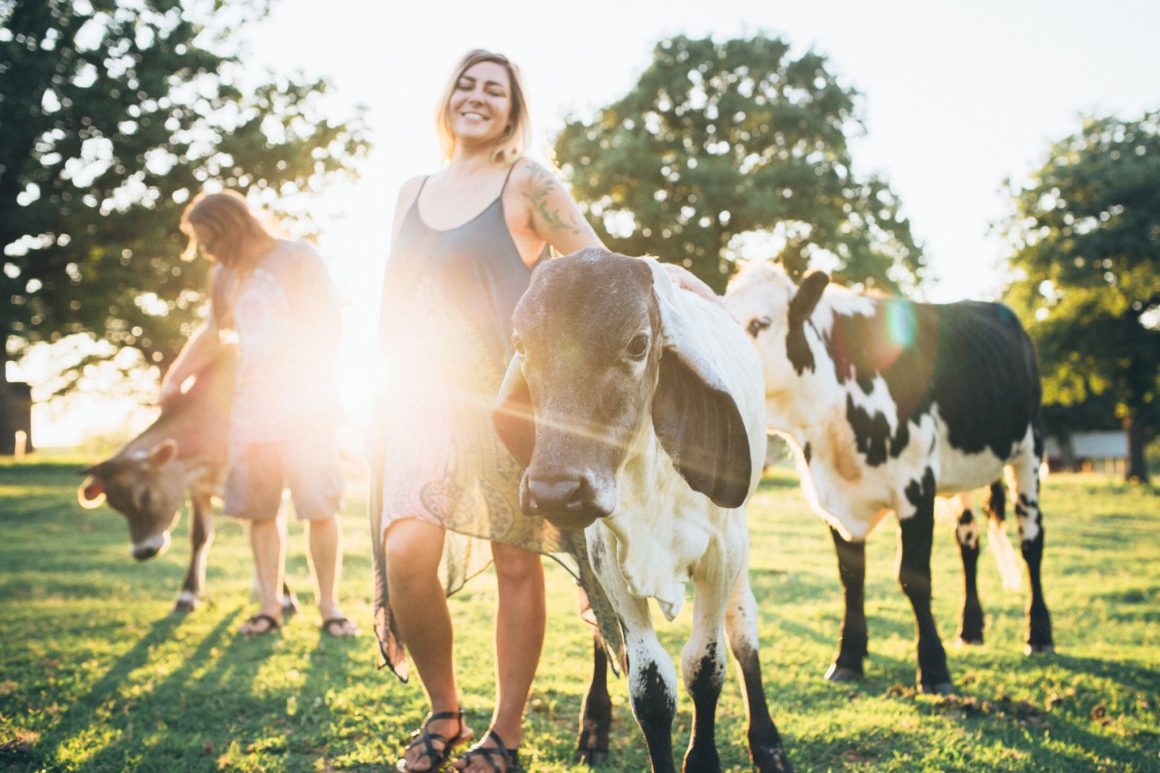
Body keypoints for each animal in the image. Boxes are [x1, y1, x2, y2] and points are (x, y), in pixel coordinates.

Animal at [494, 248, 793, 770]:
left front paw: (705, 758)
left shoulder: (721, 553)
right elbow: (650, 686)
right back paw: (594, 723)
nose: (556, 491)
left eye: (637, 345)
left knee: (742, 629)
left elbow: (705, 668)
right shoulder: (605, 556)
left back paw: (768, 741)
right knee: (601, 631)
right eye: (521, 344)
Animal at [723, 262, 1053, 696]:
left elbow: (914, 578)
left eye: (760, 323)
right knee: (968, 543)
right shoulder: (835, 501)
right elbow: (851, 578)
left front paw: (933, 669)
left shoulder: (916, 487)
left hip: (1029, 450)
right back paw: (970, 630)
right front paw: (848, 659)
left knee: (1032, 539)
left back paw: (1040, 635)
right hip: (958, 478)